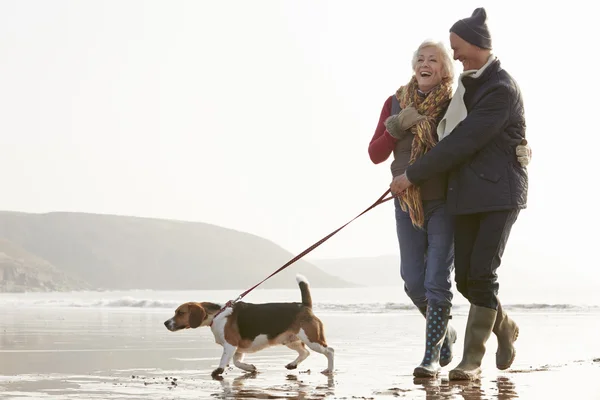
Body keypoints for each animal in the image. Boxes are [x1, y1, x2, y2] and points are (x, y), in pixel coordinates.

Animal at [162, 274, 336, 380]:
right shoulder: (237, 349)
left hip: (312, 339)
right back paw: (293, 364)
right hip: (289, 340)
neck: (217, 314)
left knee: (329, 351)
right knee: (304, 352)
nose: (165, 323)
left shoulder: (230, 345)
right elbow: (236, 362)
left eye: (180, 312)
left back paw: (329, 370)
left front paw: (218, 371)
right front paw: (250, 368)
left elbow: (224, 360)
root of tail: (305, 306)